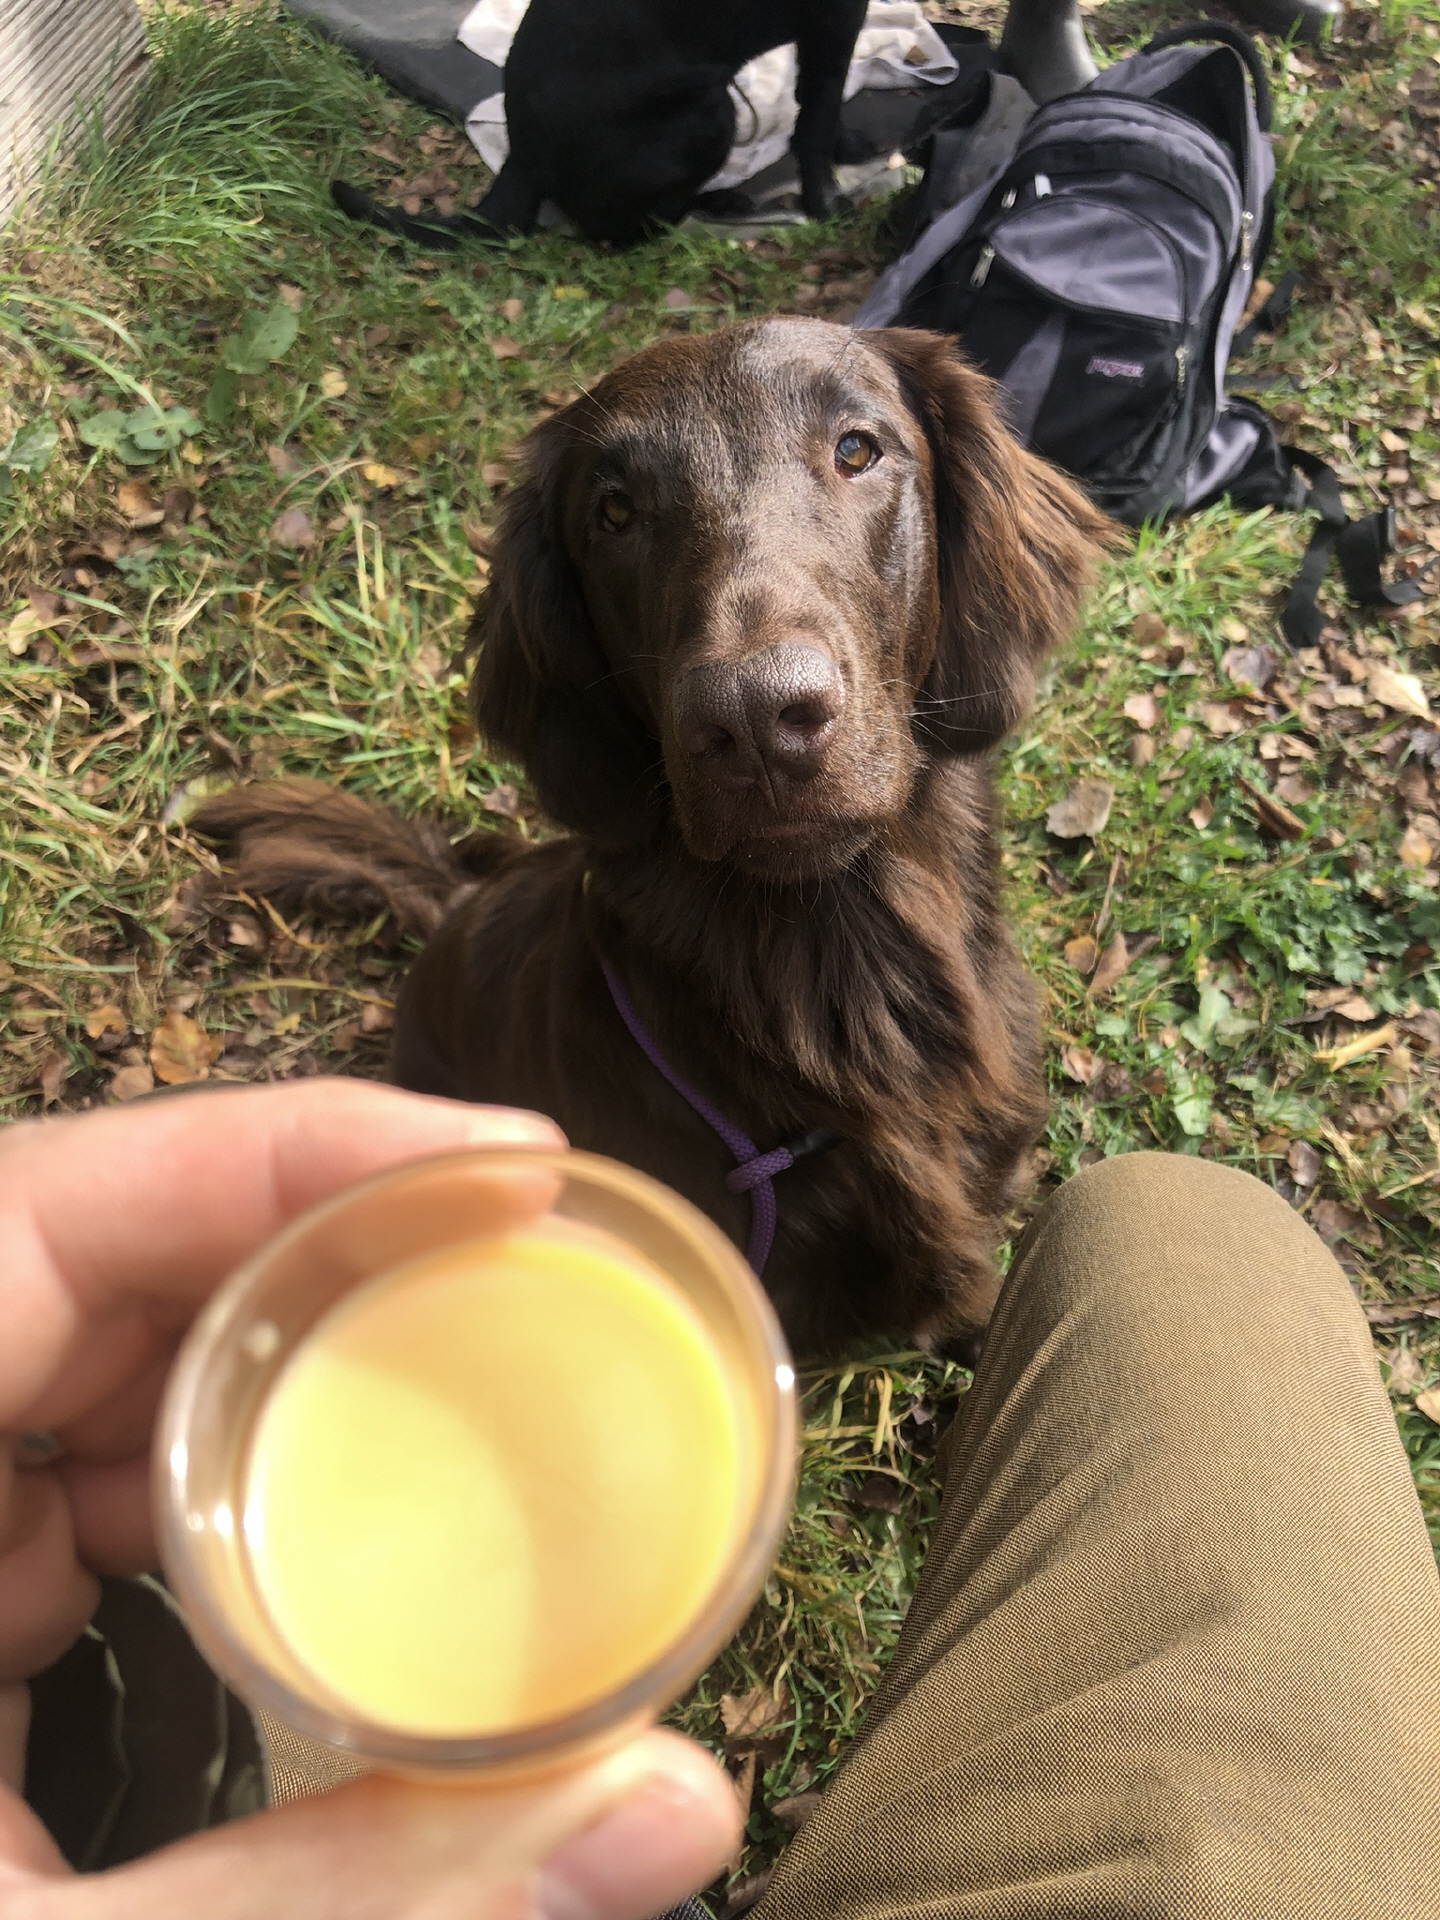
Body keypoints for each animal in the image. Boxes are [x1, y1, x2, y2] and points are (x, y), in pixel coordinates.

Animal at [333, 0, 869, 246]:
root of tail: (521, 155)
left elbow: (824, 101)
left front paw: (848, 144)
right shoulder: (834, 16)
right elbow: (816, 117)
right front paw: (826, 203)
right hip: (710, 111)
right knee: (631, 228)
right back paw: (729, 203)